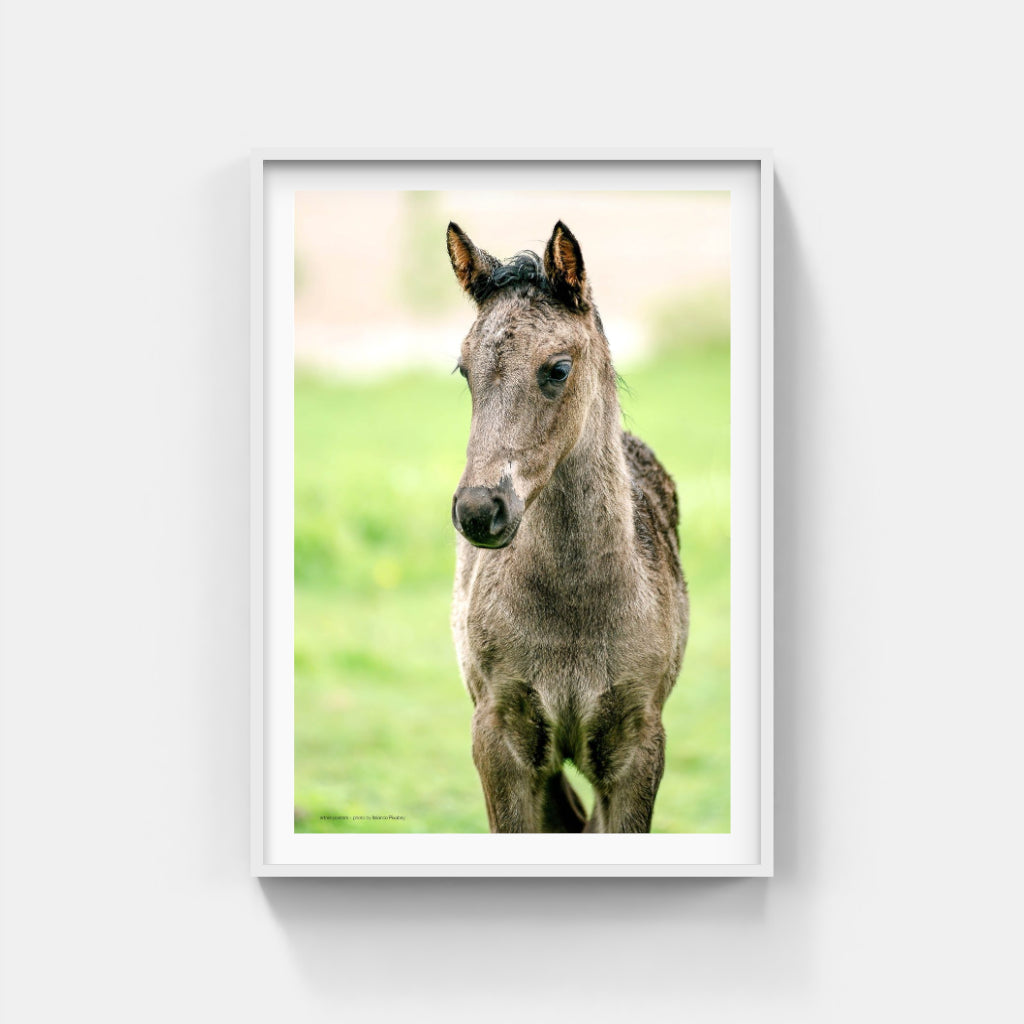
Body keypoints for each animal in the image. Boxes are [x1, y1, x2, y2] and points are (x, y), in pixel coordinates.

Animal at [447, 220, 689, 833]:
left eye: (558, 368)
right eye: (465, 370)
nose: (479, 510)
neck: (575, 608)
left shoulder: (637, 746)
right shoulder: (500, 738)